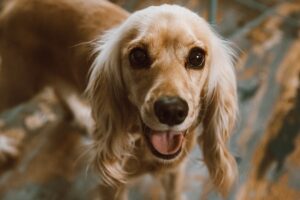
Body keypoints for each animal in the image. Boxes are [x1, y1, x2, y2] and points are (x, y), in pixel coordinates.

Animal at [0, 0, 239, 198]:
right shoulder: (112, 185)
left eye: (197, 57)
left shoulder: (175, 171)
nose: (172, 111)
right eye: (138, 56)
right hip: (19, 85)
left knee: (59, 89)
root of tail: (16, 3)